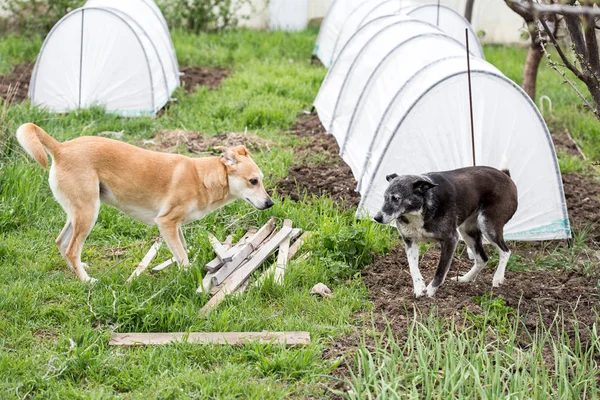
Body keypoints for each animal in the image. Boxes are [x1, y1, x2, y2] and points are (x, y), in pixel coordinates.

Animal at [16, 123, 274, 282]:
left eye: (261, 180)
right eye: (253, 181)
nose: (270, 203)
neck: (203, 178)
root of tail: (61, 148)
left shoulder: (176, 226)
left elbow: (182, 248)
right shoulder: (166, 222)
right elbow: (182, 256)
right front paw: (189, 276)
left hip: (78, 212)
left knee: (62, 243)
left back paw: (79, 270)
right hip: (89, 213)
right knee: (71, 249)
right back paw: (87, 281)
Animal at [372, 164, 516, 298]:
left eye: (396, 198)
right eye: (385, 197)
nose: (377, 218)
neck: (420, 210)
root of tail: (506, 176)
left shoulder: (450, 239)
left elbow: (440, 271)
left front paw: (430, 292)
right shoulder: (410, 242)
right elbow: (413, 267)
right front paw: (419, 288)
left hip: (488, 225)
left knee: (505, 251)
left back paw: (498, 278)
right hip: (467, 231)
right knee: (482, 259)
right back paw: (464, 279)